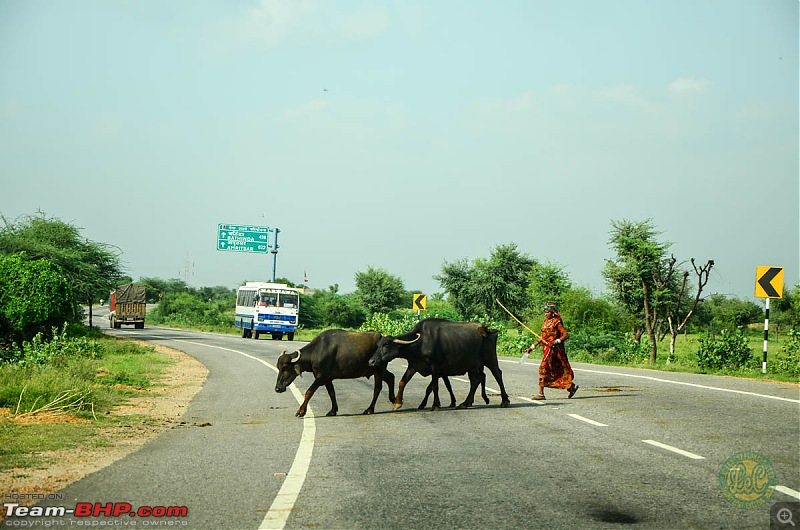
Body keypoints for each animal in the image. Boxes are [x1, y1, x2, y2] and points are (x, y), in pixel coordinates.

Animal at [368, 316, 510, 410]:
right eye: (378, 345)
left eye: (386, 345)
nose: (371, 361)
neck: (421, 343)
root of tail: (487, 330)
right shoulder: (414, 366)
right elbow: (403, 382)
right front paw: (397, 403)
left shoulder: (436, 368)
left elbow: (434, 386)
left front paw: (435, 405)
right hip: (472, 366)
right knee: (476, 380)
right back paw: (465, 403)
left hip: (490, 359)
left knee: (497, 374)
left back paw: (505, 401)